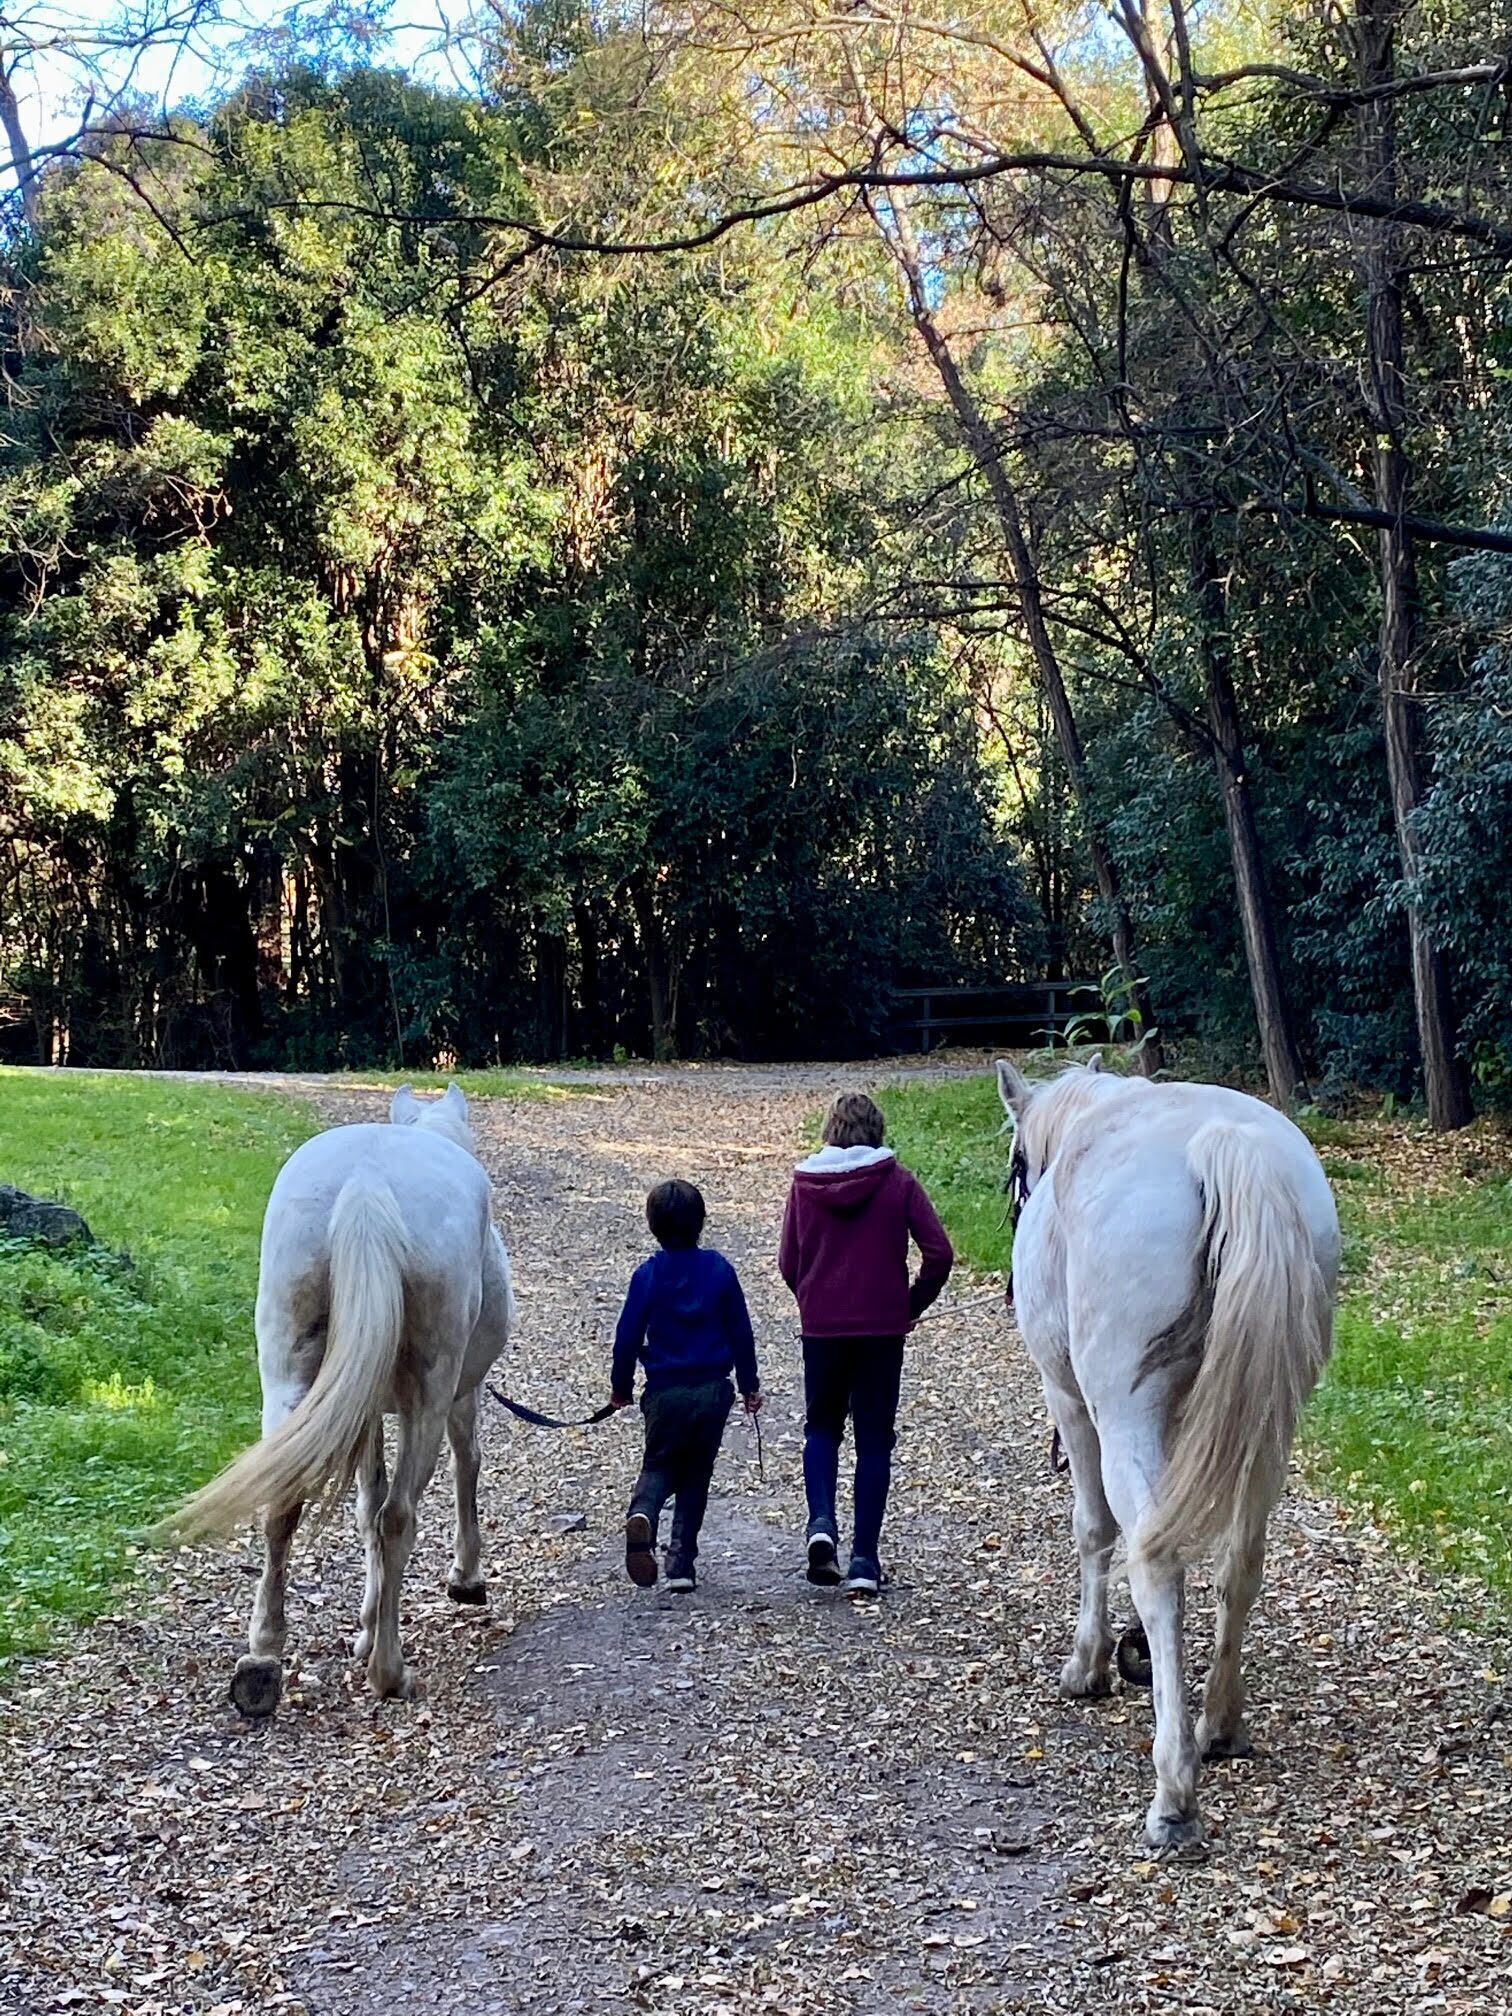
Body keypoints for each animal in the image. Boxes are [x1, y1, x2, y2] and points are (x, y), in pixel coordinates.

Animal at [157, 1082, 515, 1715]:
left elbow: (364, 1507)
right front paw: (464, 1579)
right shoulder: (461, 1394)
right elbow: (462, 1467)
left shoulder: (360, 1408)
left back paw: (262, 1661)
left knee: (284, 1504)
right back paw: (390, 1673)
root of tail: (365, 1184)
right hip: (429, 1391)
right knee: (399, 1516)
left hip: (289, 1378)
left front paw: (366, 1628)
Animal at [995, 1056, 1338, 1848]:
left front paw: (1088, 1663)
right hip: (1268, 1423)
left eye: (1017, 1166)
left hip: (1122, 1412)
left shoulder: (1072, 1406)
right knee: (1241, 1559)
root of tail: (1224, 1145)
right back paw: (1218, 1723)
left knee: (1155, 1562)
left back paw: (1174, 1790)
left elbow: (1093, 1529)